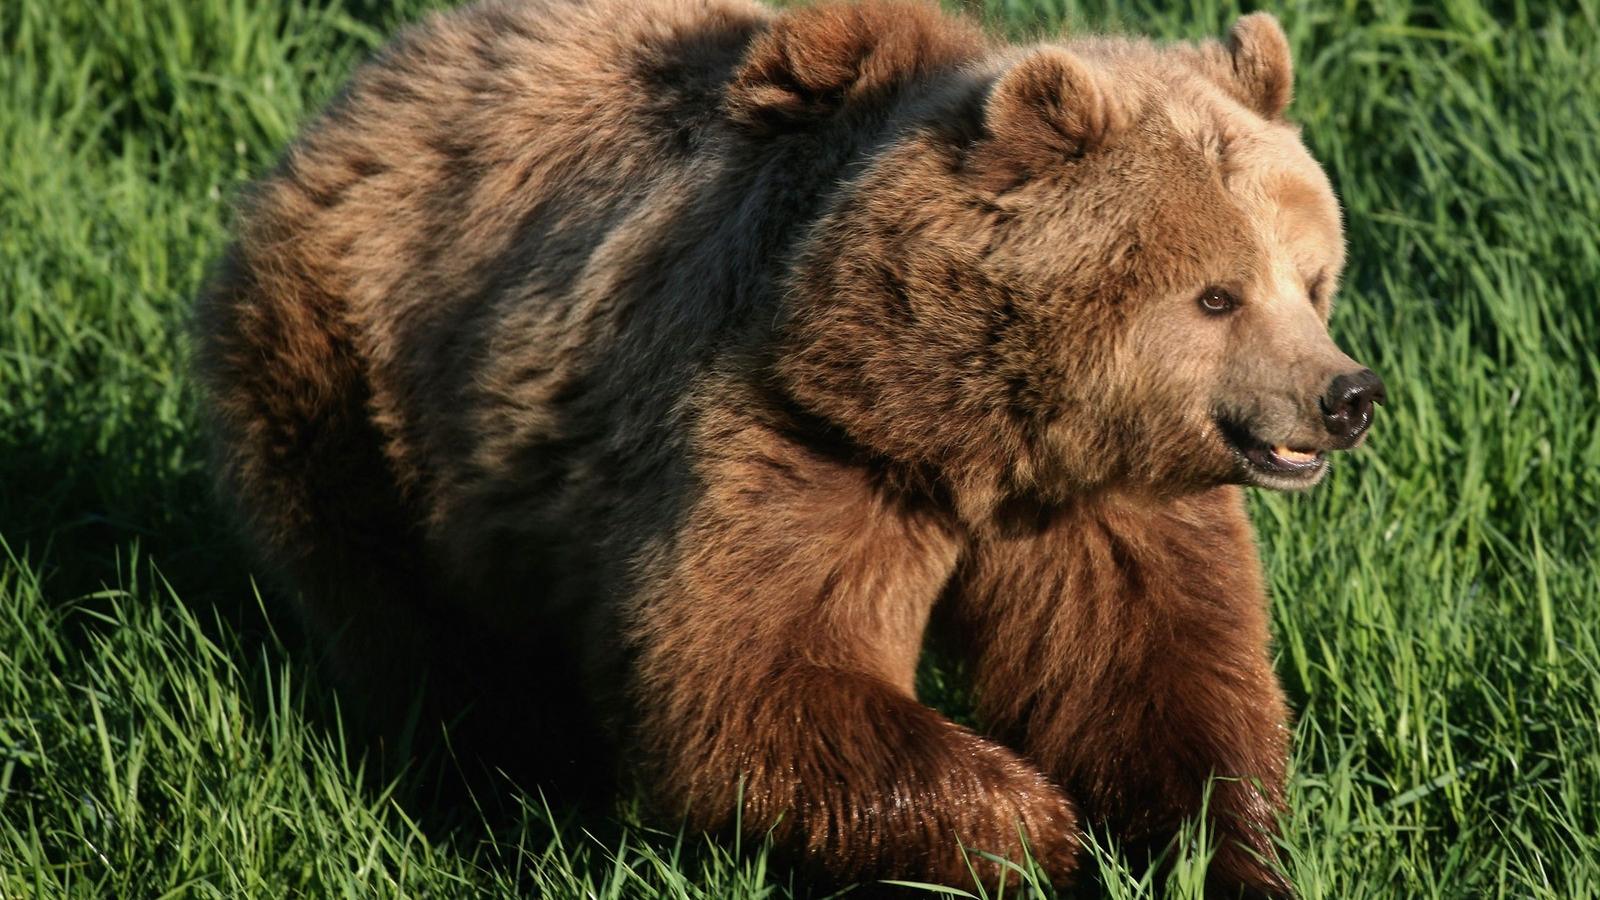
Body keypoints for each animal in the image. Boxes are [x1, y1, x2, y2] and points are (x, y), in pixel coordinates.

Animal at [193, 0, 1382, 890]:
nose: (1346, 396)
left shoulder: (1097, 504)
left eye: (1312, 276)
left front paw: (1211, 849)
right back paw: (493, 784)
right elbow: (750, 673)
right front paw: (1033, 830)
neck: (961, 425)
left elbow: (1150, 674)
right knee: (416, 621)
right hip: (354, 381)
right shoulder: (792, 438)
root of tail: (375, 78)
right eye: (1217, 294)